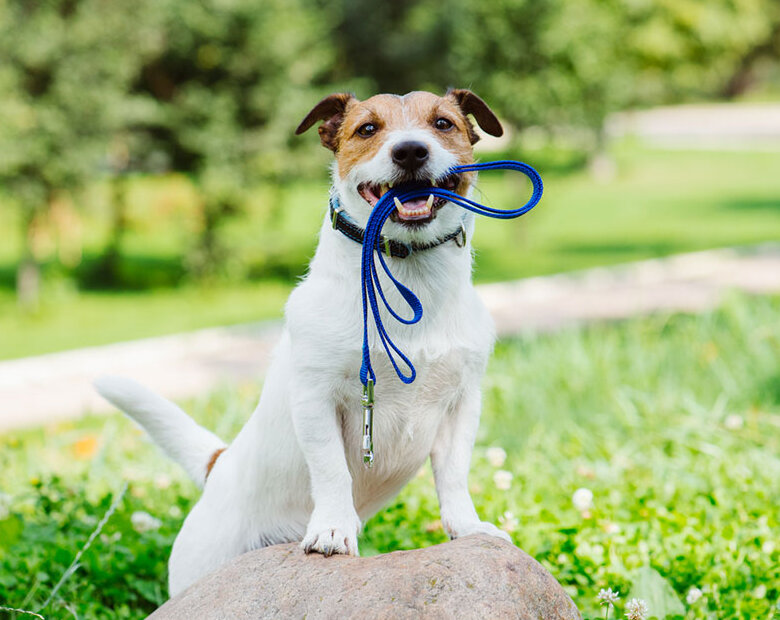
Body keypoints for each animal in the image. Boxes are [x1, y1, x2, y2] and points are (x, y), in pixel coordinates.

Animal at [96, 89, 512, 600]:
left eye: (443, 123)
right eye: (368, 129)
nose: (410, 151)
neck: (408, 280)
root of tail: (220, 467)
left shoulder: (461, 403)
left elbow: (453, 473)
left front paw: (467, 527)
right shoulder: (316, 398)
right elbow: (332, 469)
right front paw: (333, 529)